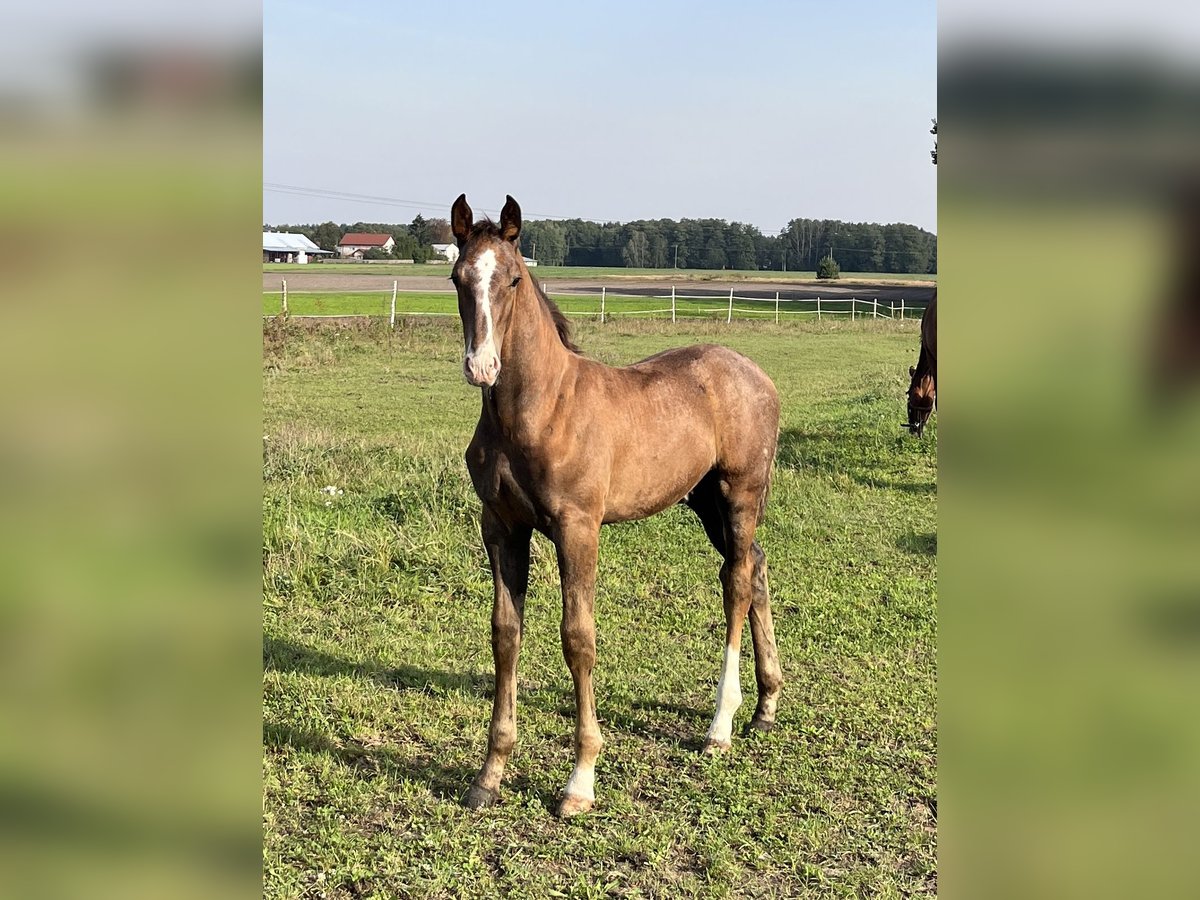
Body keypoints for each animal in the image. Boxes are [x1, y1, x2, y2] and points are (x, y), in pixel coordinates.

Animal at [451, 194, 787, 820]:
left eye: (513, 278)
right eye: (458, 277)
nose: (482, 366)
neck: (538, 411)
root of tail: (757, 374)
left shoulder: (578, 528)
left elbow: (577, 638)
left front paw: (579, 781)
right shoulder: (501, 527)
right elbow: (505, 634)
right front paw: (490, 773)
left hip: (740, 492)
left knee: (735, 582)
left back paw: (720, 727)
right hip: (704, 501)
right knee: (755, 567)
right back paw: (766, 707)